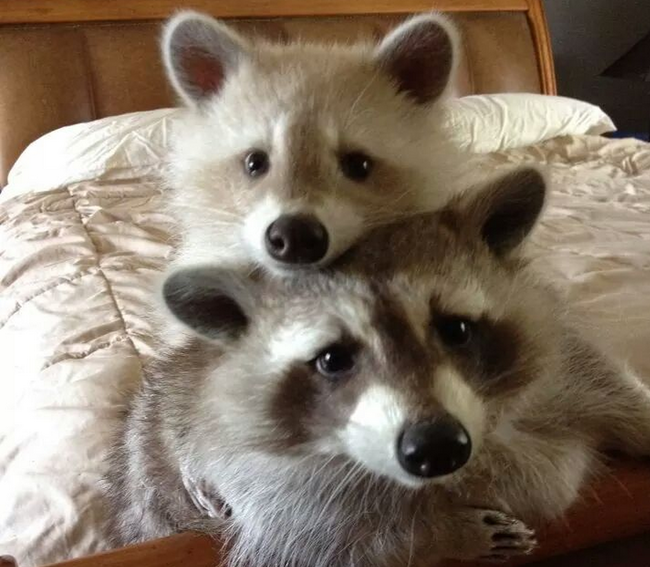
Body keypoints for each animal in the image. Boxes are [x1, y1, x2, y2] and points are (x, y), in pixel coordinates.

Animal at [107, 167, 650, 566]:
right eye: (331, 359)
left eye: (455, 329)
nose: (435, 446)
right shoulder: (281, 496)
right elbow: (328, 547)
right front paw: (442, 535)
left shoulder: (565, 368)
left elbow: (606, 384)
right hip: (148, 468)